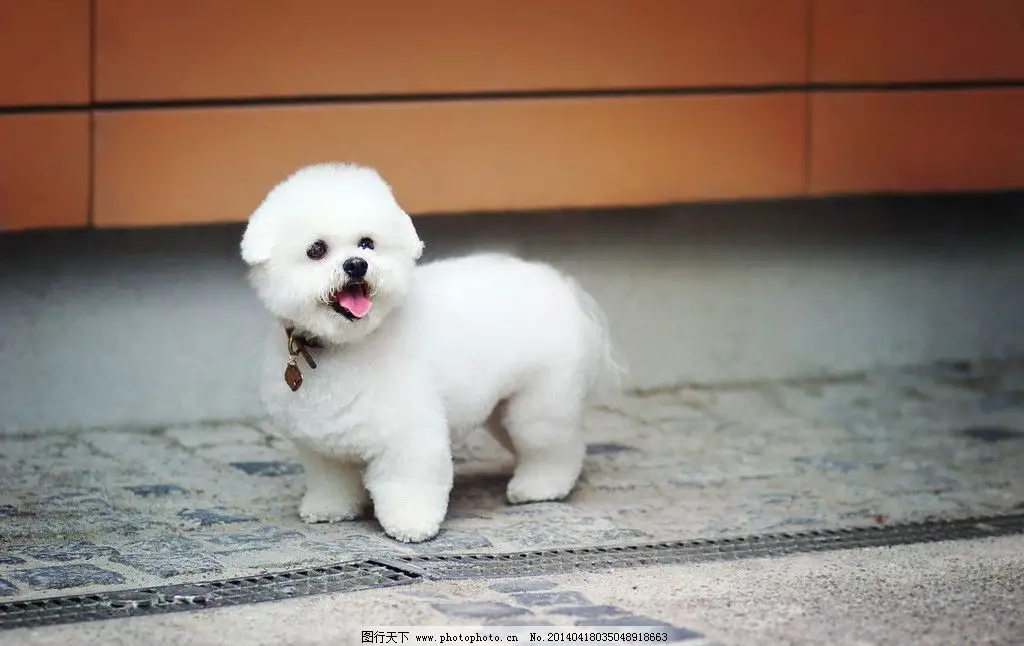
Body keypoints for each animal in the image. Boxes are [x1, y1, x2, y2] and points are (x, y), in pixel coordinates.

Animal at [240, 161, 622, 540]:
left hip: (541, 399)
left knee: (554, 446)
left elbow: (407, 481)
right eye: (316, 250)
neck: (346, 345)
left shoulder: (409, 433)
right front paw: (329, 508)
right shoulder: (322, 444)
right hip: (503, 407)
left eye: (367, 244)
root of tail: (561, 285)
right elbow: (332, 480)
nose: (356, 264)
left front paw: (411, 524)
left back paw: (540, 486)